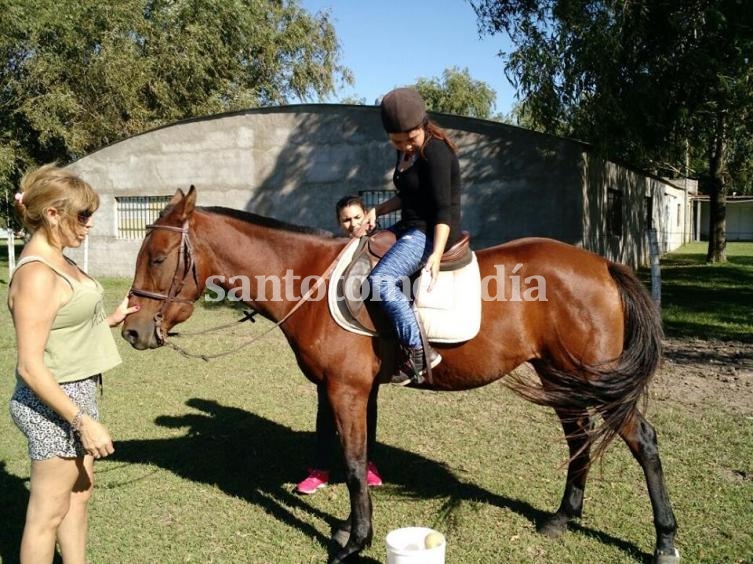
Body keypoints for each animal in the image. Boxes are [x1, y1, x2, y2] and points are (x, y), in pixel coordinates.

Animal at [122, 188, 676, 564]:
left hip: (595, 381)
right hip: (560, 375)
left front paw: (354, 543)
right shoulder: (350, 391)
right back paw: (563, 517)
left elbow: (351, 463)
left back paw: (665, 539)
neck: (310, 278)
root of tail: (604, 265)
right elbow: (354, 456)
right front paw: (349, 529)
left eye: (157, 258)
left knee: (643, 442)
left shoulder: (346, 390)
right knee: (579, 438)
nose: (131, 331)